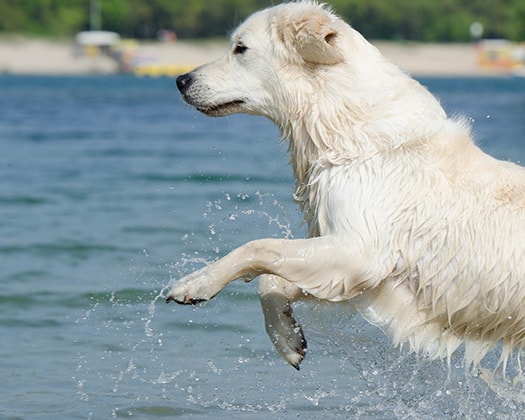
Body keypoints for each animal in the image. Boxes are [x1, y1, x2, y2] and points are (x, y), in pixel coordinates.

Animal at [167, 0, 524, 370]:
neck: (344, 124)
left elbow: (259, 247)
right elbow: (272, 278)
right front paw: (287, 337)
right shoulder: (363, 273)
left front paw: (195, 283)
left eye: (240, 48)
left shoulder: (361, 250)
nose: (180, 80)